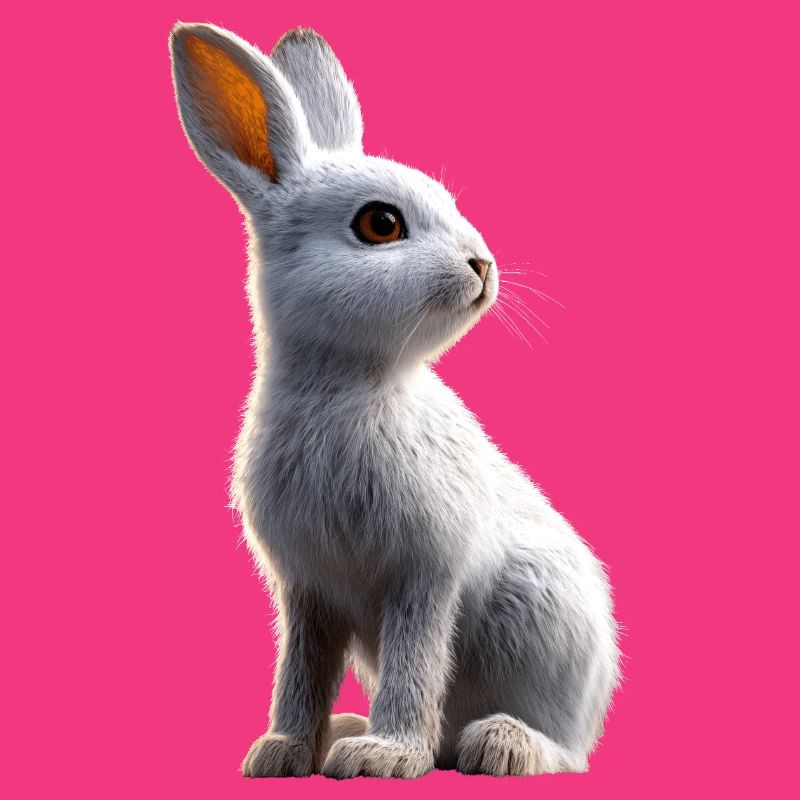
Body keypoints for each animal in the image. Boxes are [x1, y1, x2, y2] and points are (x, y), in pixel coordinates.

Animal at [169, 22, 620, 779]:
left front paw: (384, 757)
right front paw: (281, 752)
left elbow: (415, 663)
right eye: (380, 224)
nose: (483, 265)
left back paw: (499, 744)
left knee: (566, 750)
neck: (349, 384)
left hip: (542, 626)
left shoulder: (423, 574)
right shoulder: (309, 592)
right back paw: (350, 730)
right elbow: (301, 673)